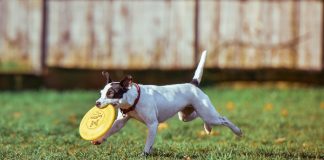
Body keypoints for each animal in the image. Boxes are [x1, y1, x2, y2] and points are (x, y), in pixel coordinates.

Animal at [91, 51, 240, 155]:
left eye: (110, 93)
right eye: (101, 93)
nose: (97, 103)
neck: (134, 99)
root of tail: (193, 85)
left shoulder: (152, 124)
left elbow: (148, 142)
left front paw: (145, 153)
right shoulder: (120, 122)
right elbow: (110, 130)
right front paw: (99, 139)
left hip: (209, 114)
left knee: (223, 119)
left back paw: (237, 131)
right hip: (186, 115)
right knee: (199, 116)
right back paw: (207, 128)